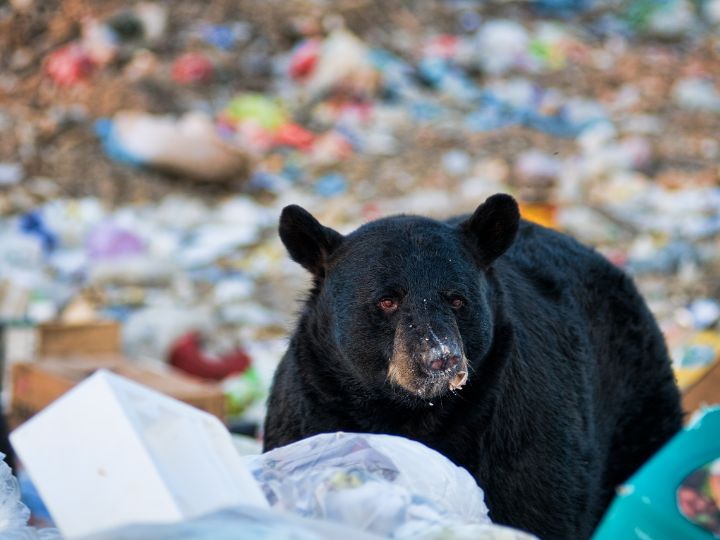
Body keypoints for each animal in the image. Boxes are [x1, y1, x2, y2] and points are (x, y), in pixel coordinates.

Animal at [264, 192, 680, 536]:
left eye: (457, 299)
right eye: (387, 300)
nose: (440, 359)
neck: (412, 415)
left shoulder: (525, 432)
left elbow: (539, 505)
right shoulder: (312, 408)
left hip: (636, 407)